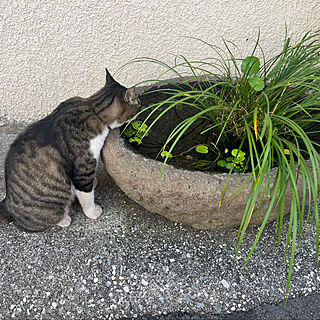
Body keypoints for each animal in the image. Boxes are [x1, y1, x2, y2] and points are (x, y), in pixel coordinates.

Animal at [0, 69, 140, 231]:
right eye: (138, 102)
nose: (142, 105)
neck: (94, 109)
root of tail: (7, 205)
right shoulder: (83, 168)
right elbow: (86, 195)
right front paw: (92, 211)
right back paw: (64, 219)